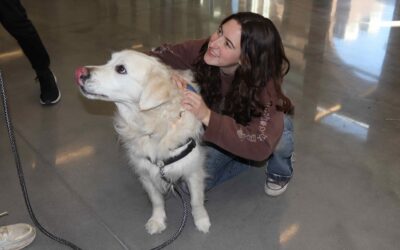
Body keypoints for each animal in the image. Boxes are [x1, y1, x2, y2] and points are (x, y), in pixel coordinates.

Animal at [76, 49, 211, 234]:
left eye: (121, 69)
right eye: (109, 61)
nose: (80, 72)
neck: (153, 127)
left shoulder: (193, 170)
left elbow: (196, 201)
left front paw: (202, 221)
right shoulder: (146, 173)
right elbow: (156, 201)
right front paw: (157, 220)